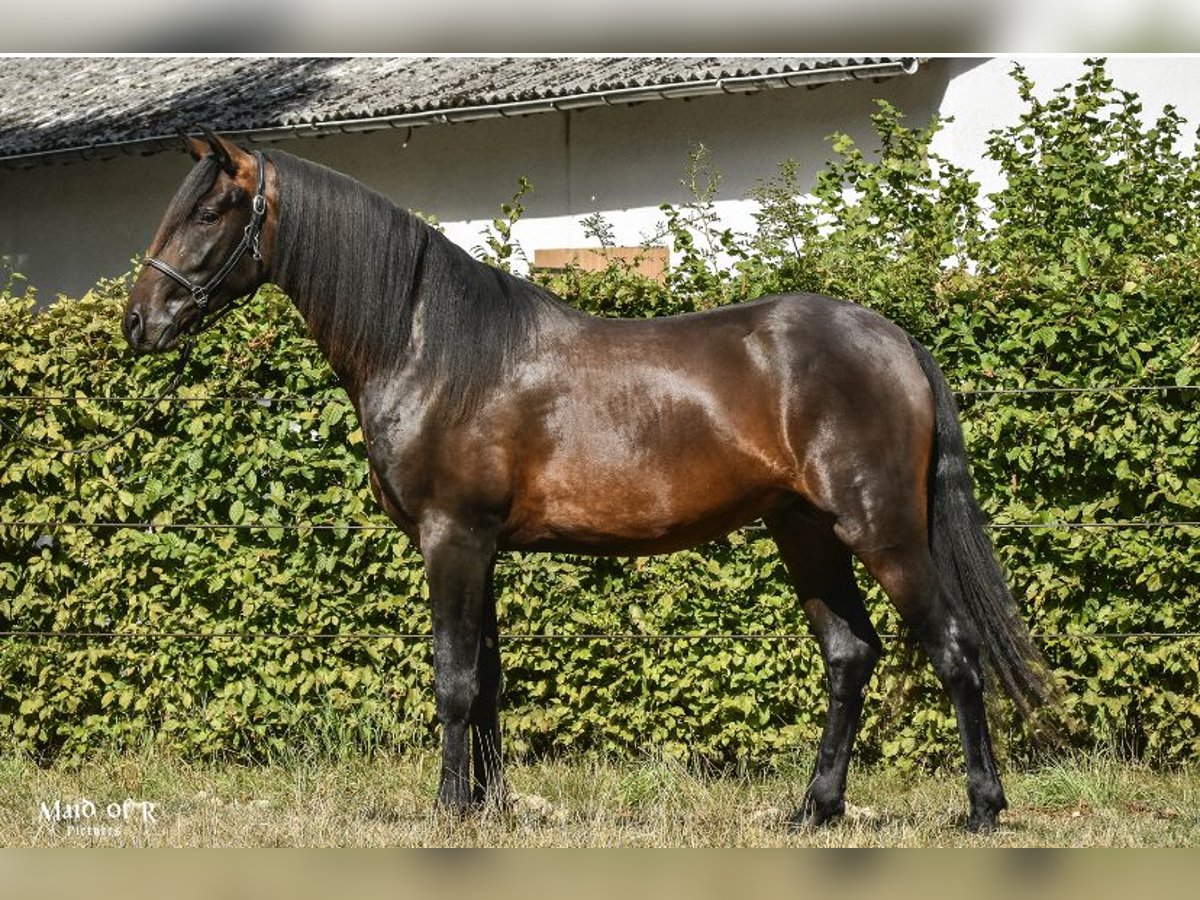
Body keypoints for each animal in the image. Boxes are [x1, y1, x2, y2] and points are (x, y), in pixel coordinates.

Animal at [124, 130, 1051, 835]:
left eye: (209, 211)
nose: (138, 322)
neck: (432, 348)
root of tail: (895, 340)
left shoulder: (452, 538)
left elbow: (453, 680)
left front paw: (448, 808)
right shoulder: (483, 548)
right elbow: (487, 682)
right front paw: (489, 808)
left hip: (882, 531)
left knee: (955, 649)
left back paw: (982, 808)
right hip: (805, 532)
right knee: (849, 657)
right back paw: (812, 811)